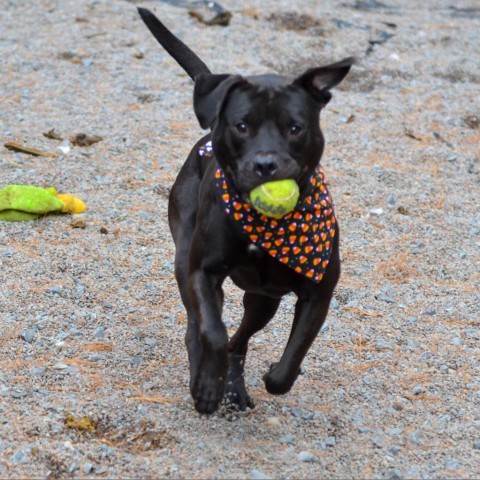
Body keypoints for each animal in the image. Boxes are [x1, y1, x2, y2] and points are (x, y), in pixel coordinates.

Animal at [138, 6, 352, 412]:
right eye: (241, 126)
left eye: (295, 128)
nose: (266, 165)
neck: (269, 226)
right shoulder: (203, 273)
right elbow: (213, 332)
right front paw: (207, 386)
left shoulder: (318, 292)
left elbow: (293, 357)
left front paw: (273, 376)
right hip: (185, 262)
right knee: (200, 329)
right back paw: (207, 377)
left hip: (263, 301)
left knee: (241, 339)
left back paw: (235, 388)